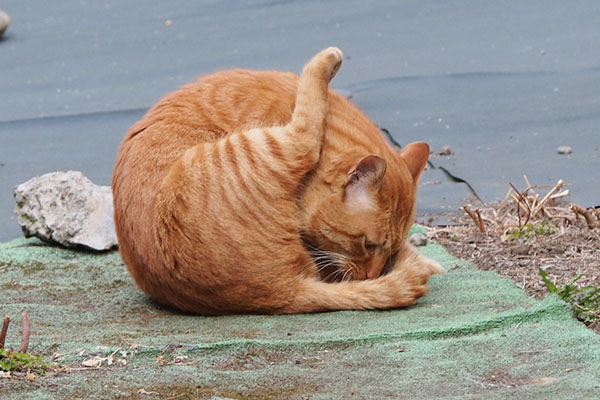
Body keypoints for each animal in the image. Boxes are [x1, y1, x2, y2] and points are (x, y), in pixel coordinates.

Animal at [112, 47, 442, 316]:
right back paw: (327, 61)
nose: (372, 276)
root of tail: (283, 291)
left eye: (391, 251)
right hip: (264, 146)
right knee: (305, 135)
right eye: (368, 244)